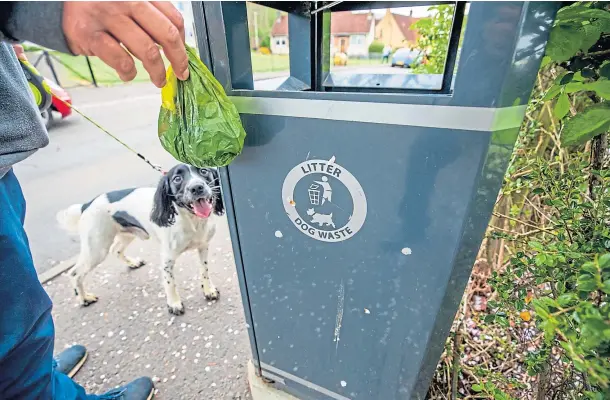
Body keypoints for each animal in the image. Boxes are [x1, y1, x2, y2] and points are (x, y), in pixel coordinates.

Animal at [55, 164, 223, 314]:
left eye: (203, 170)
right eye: (177, 178)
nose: (197, 187)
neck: (192, 222)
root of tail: (87, 204)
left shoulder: (203, 246)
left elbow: (204, 270)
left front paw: (208, 290)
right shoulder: (167, 258)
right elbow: (169, 282)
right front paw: (174, 304)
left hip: (126, 234)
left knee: (116, 250)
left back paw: (133, 263)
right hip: (97, 249)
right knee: (74, 273)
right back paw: (84, 299)